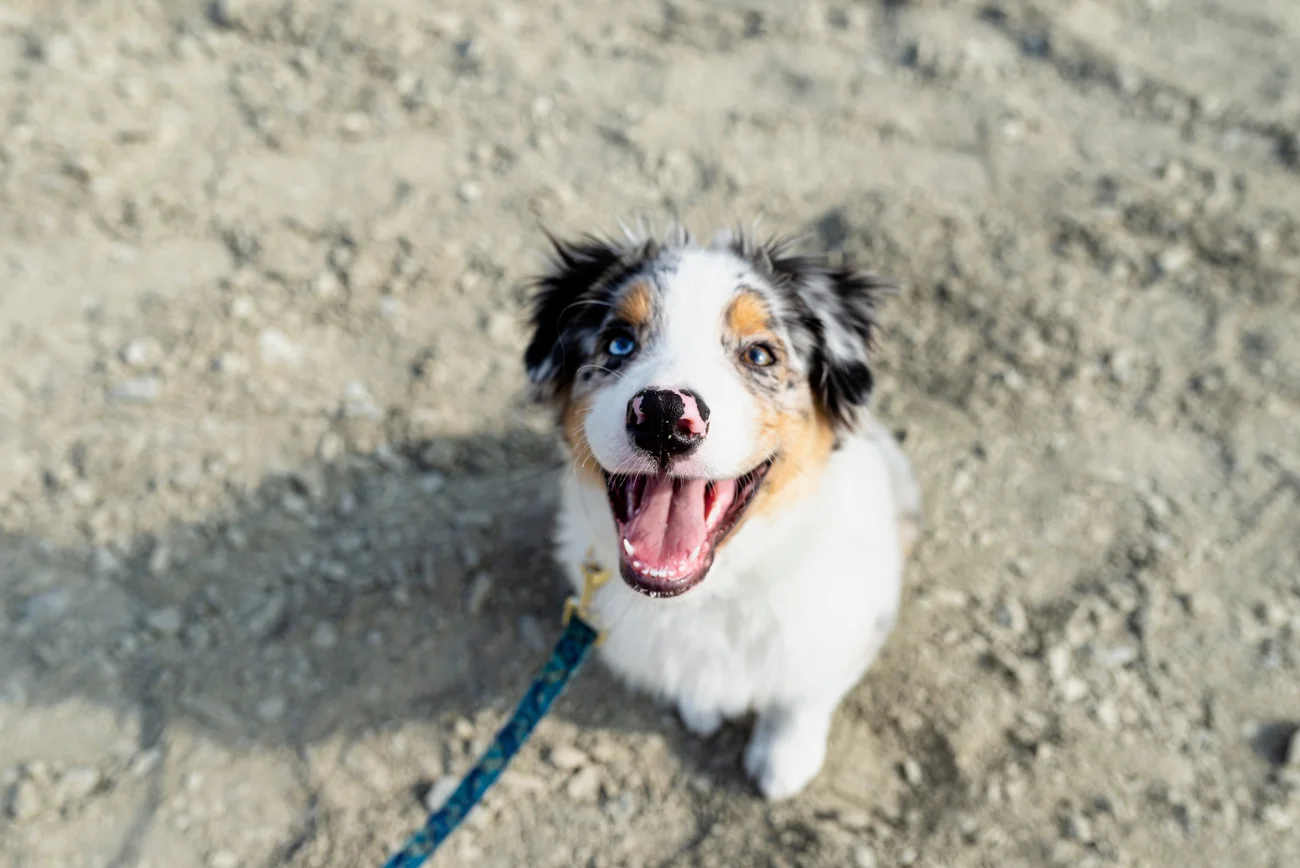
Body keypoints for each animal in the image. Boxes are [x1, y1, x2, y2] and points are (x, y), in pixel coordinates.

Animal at [520, 226, 925, 800]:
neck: (711, 592)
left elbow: (804, 694)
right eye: (619, 342)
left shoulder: (851, 623)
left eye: (759, 354)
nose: (664, 416)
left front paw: (783, 761)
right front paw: (702, 708)